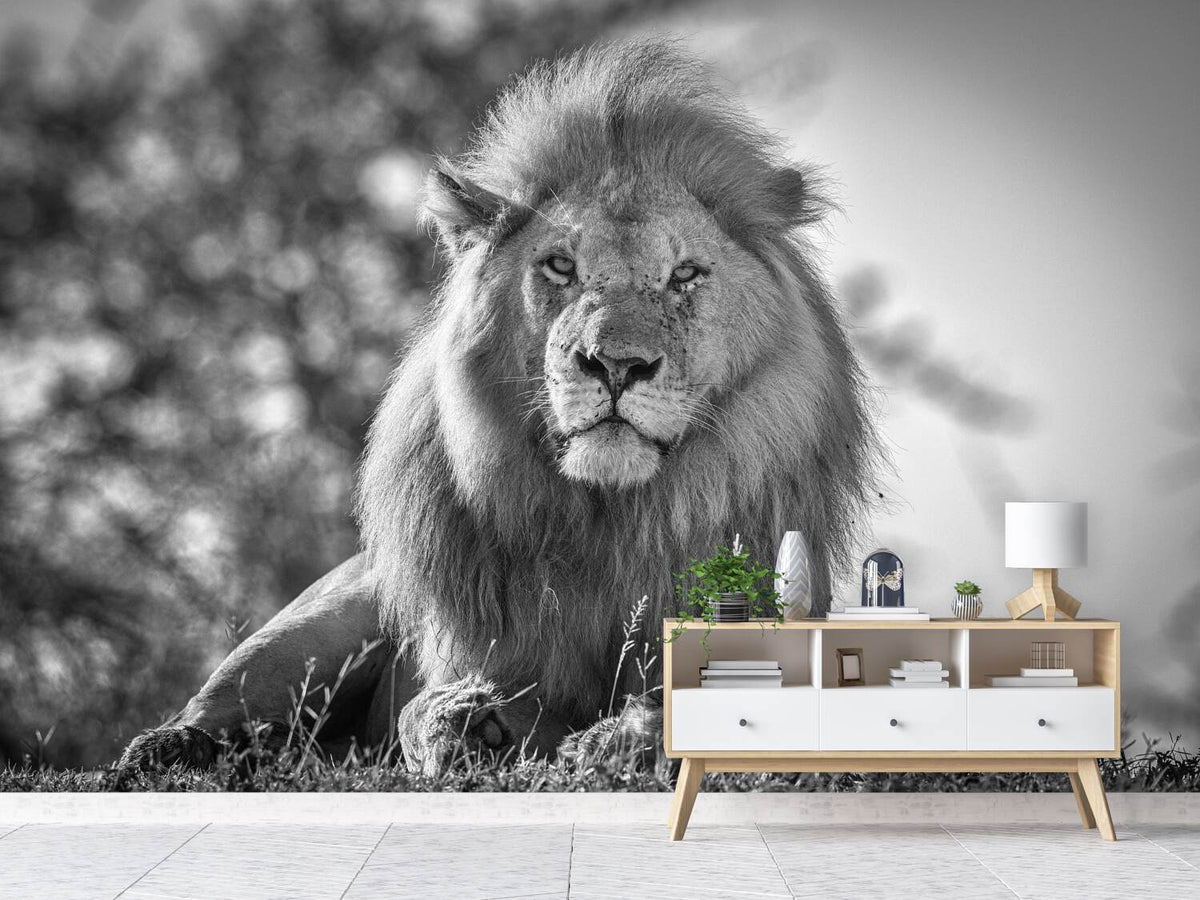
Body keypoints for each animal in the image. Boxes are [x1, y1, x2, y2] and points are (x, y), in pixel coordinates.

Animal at [119, 41, 876, 776]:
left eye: (684, 274)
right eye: (561, 267)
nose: (616, 365)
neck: (611, 520)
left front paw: (611, 737)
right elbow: (419, 711)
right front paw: (471, 724)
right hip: (322, 620)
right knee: (221, 711)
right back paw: (172, 751)